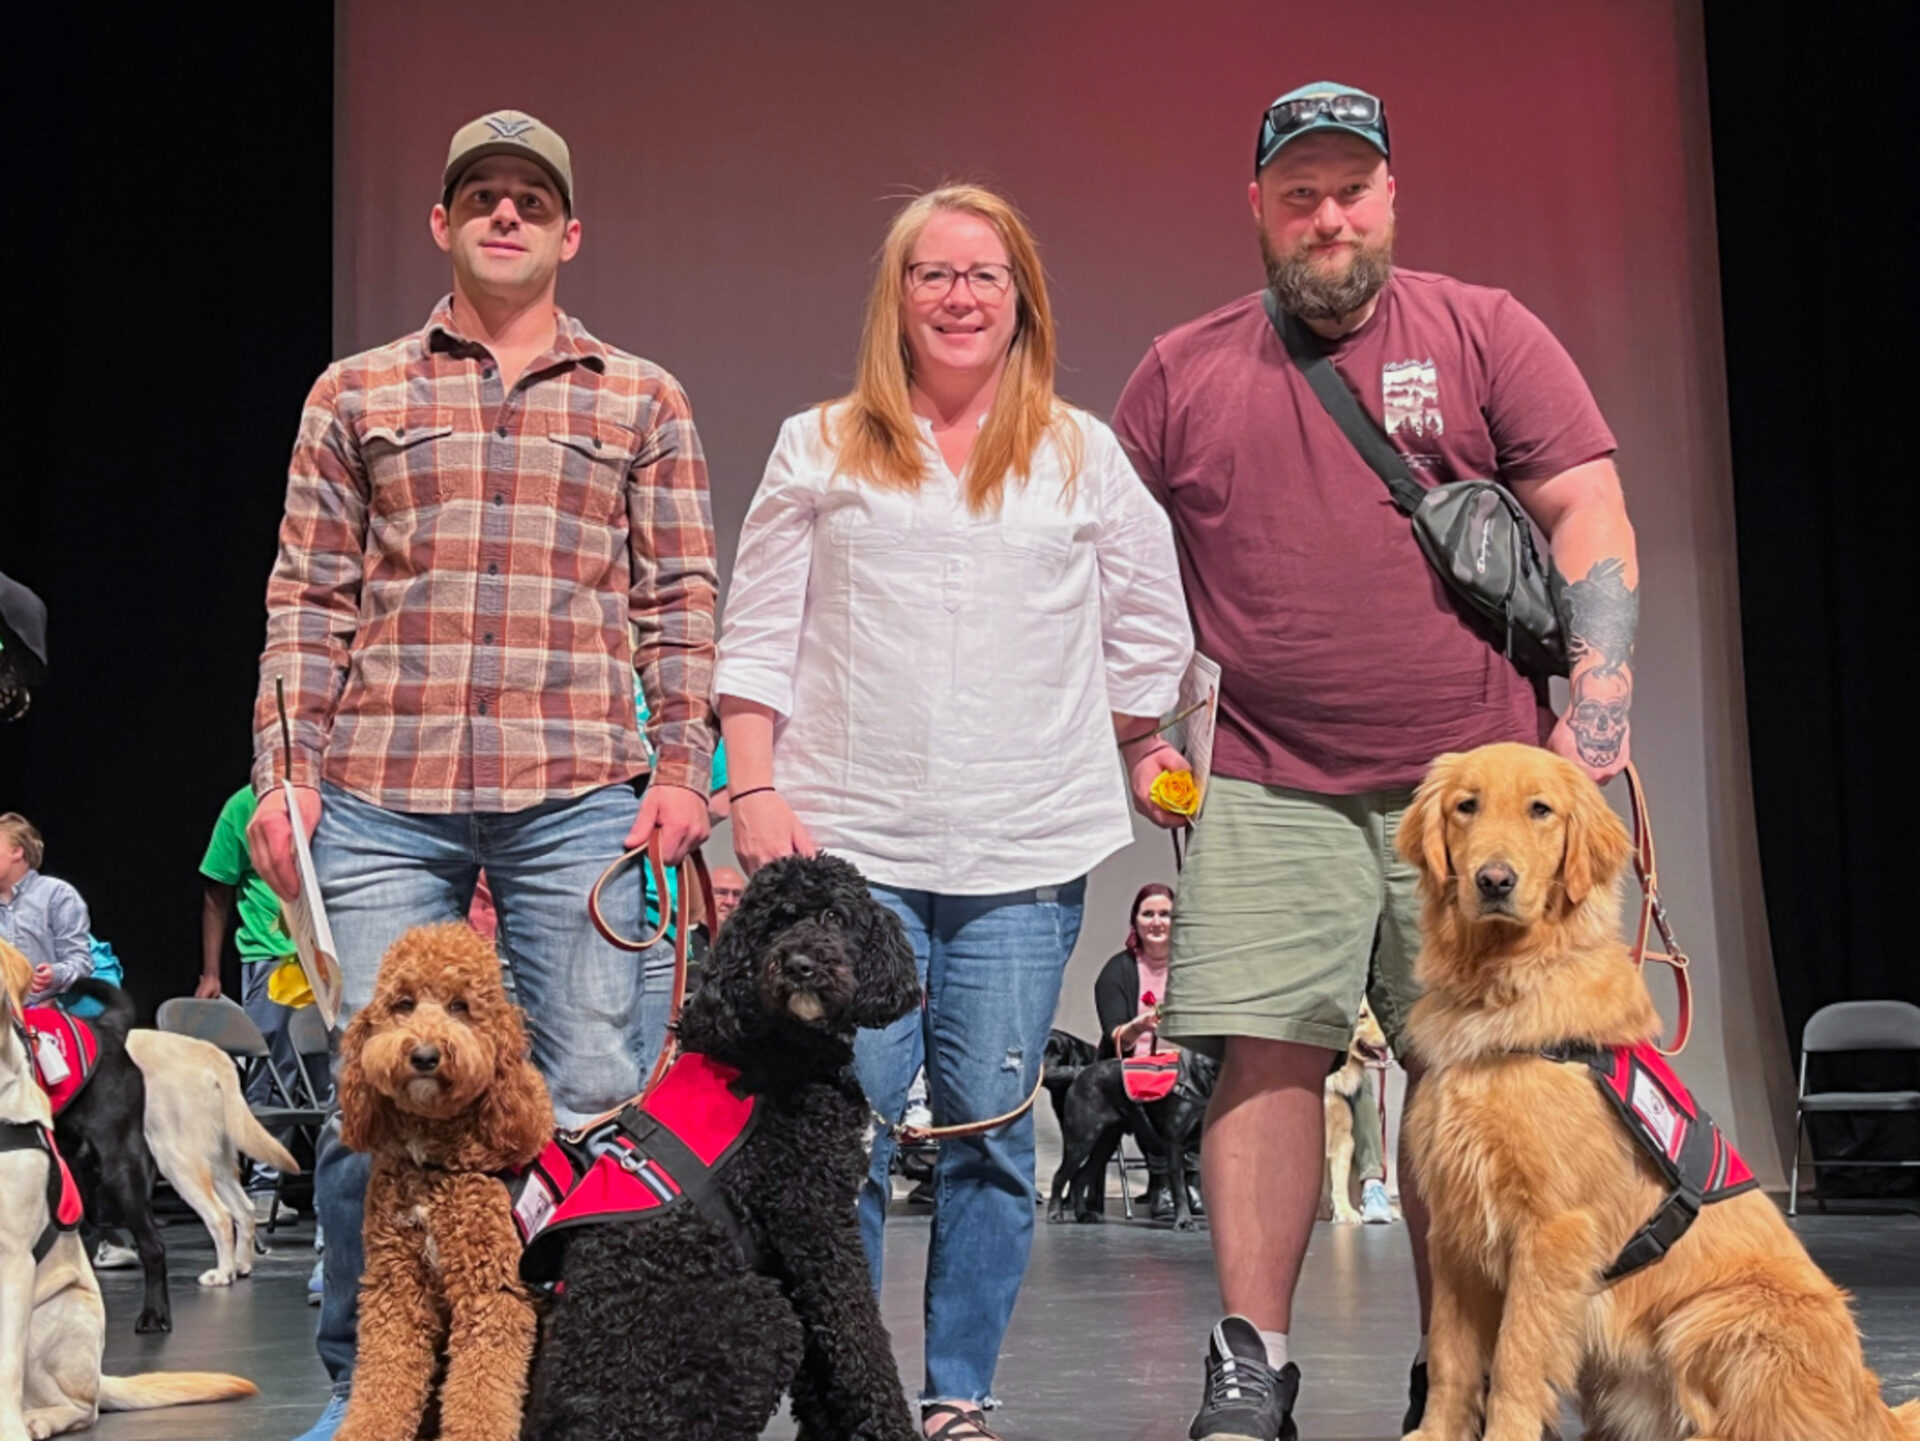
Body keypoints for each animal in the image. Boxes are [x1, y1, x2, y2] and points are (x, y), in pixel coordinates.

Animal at [522, 855, 917, 1441]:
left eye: (833, 916)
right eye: (775, 923)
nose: (799, 965)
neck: (782, 1049)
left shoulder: (788, 1251)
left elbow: (826, 1371)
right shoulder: (814, 1220)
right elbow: (860, 1341)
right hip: (758, 1318)